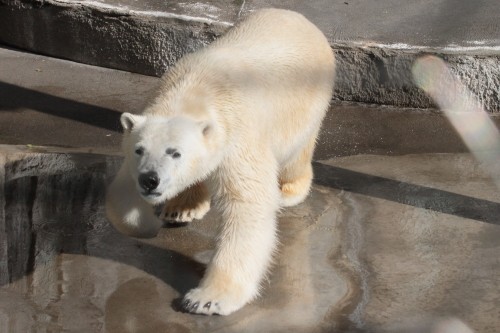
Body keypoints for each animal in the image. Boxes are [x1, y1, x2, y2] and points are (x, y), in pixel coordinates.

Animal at [104, 7, 336, 314]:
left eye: (175, 152)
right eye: (139, 150)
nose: (150, 180)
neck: (194, 90)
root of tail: (302, 19)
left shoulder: (237, 136)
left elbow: (248, 203)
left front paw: (206, 299)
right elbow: (120, 195)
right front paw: (149, 223)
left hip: (306, 102)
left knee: (296, 154)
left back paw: (288, 191)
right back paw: (183, 209)